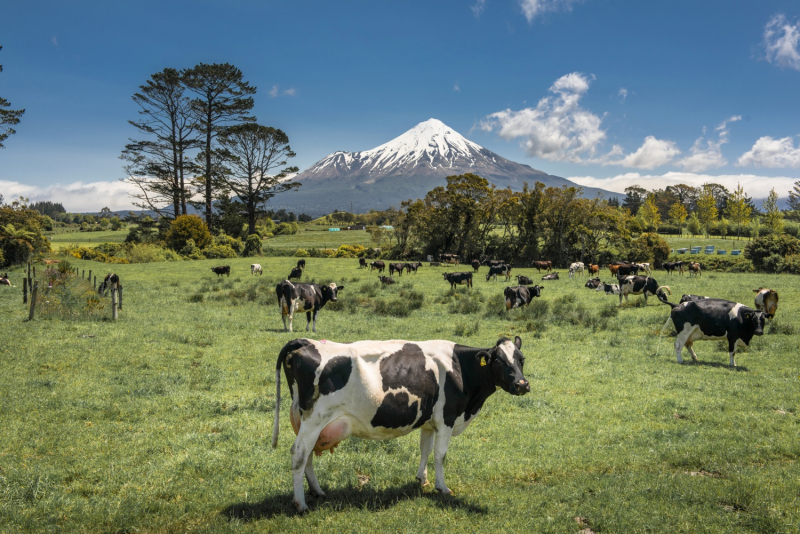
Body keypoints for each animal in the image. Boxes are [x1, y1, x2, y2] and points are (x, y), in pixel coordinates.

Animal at [276, 338, 532, 512]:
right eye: (498, 360)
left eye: (521, 359)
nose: (522, 384)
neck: (460, 368)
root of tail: (307, 343)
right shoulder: (446, 419)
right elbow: (440, 455)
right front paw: (442, 487)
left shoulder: (429, 422)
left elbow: (425, 449)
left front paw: (422, 479)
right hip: (314, 419)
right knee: (299, 454)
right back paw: (301, 503)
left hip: (308, 422)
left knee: (307, 455)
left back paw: (317, 491)